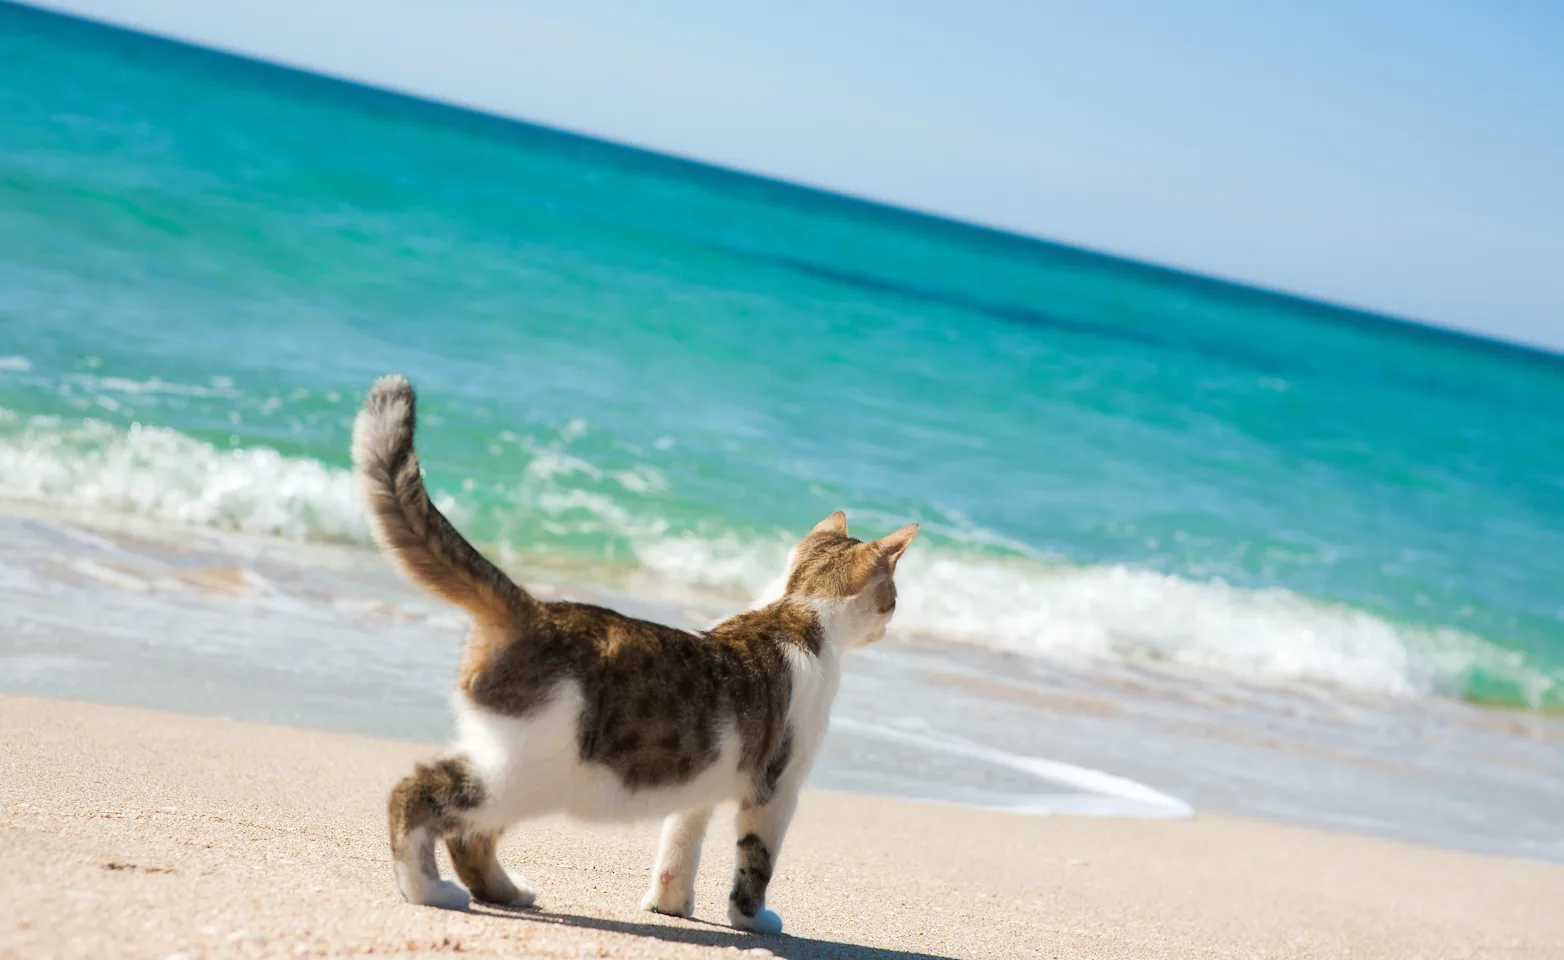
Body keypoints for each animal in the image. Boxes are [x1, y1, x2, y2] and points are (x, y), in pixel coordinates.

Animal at [355, 378, 913, 938]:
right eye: (893, 597)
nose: (892, 621)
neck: (797, 613)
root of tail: (537, 613)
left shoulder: (700, 782)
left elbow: (679, 845)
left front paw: (670, 904)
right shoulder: (776, 787)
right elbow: (756, 860)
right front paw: (752, 920)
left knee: (469, 835)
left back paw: (506, 892)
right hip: (524, 769)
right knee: (417, 794)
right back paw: (427, 890)